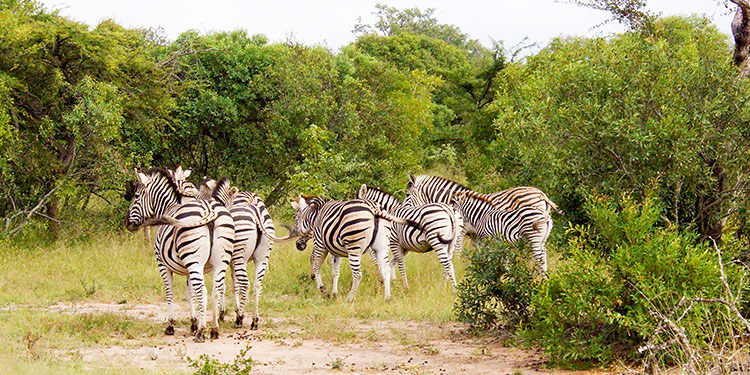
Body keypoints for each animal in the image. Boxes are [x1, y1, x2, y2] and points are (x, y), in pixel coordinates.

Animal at [125, 167, 231, 340]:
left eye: (137, 196)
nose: (127, 223)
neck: (168, 207)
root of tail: (210, 210)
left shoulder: (162, 264)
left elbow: (169, 292)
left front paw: (171, 325)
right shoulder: (188, 269)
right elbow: (190, 293)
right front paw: (193, 323)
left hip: (195, 261)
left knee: (203, 291)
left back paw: (201, 332)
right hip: (219, 261)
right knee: (216, 291)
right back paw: (214, 329)